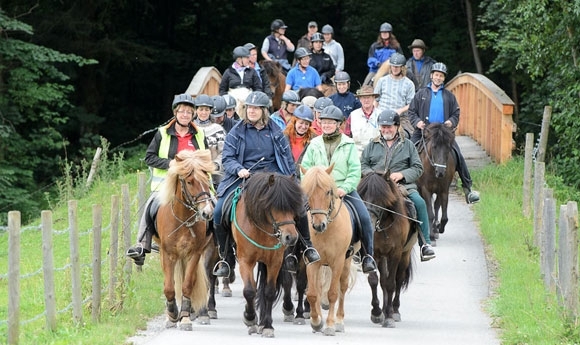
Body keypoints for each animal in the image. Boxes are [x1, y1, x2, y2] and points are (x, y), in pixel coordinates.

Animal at [154, 149, 215, 330]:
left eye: (206, 179)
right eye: (189, 182)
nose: (207, 213)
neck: (183, 220)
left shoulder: (194, 254)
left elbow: (188, 285)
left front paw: (185, 317)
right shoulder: (168, 254)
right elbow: (169, 287)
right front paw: (172, 315)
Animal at [228, 172, 304, 336]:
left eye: (293, 206)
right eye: (274, 205)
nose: (291, 237)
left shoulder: (275, 261)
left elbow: (269, 291)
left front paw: (267, 325)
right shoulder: (245, 261)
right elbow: (249, 291)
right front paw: (250, 318)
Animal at [302, 165, 356, 334]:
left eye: (328, 192)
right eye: (307, 193)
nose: (319, 225)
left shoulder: (338, 261)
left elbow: (333, 293)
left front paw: (330, 325)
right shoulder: (312, 261)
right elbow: (313, 294)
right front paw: (316, 321)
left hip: (346, 262)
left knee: (342, 288)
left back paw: (339, 321)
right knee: (319, 289)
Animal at [358, 173, 416, 326]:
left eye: (381, 198)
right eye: (362, 195)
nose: (368, 222)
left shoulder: (395, 254)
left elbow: (391, 283)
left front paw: (389, 316)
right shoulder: (373, 253)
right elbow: (374, 280)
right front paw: (377, 312)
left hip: (404, 255)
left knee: (399, 279)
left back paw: (395, 310)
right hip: (383, 257)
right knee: (383, 280)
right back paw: (384, 310)